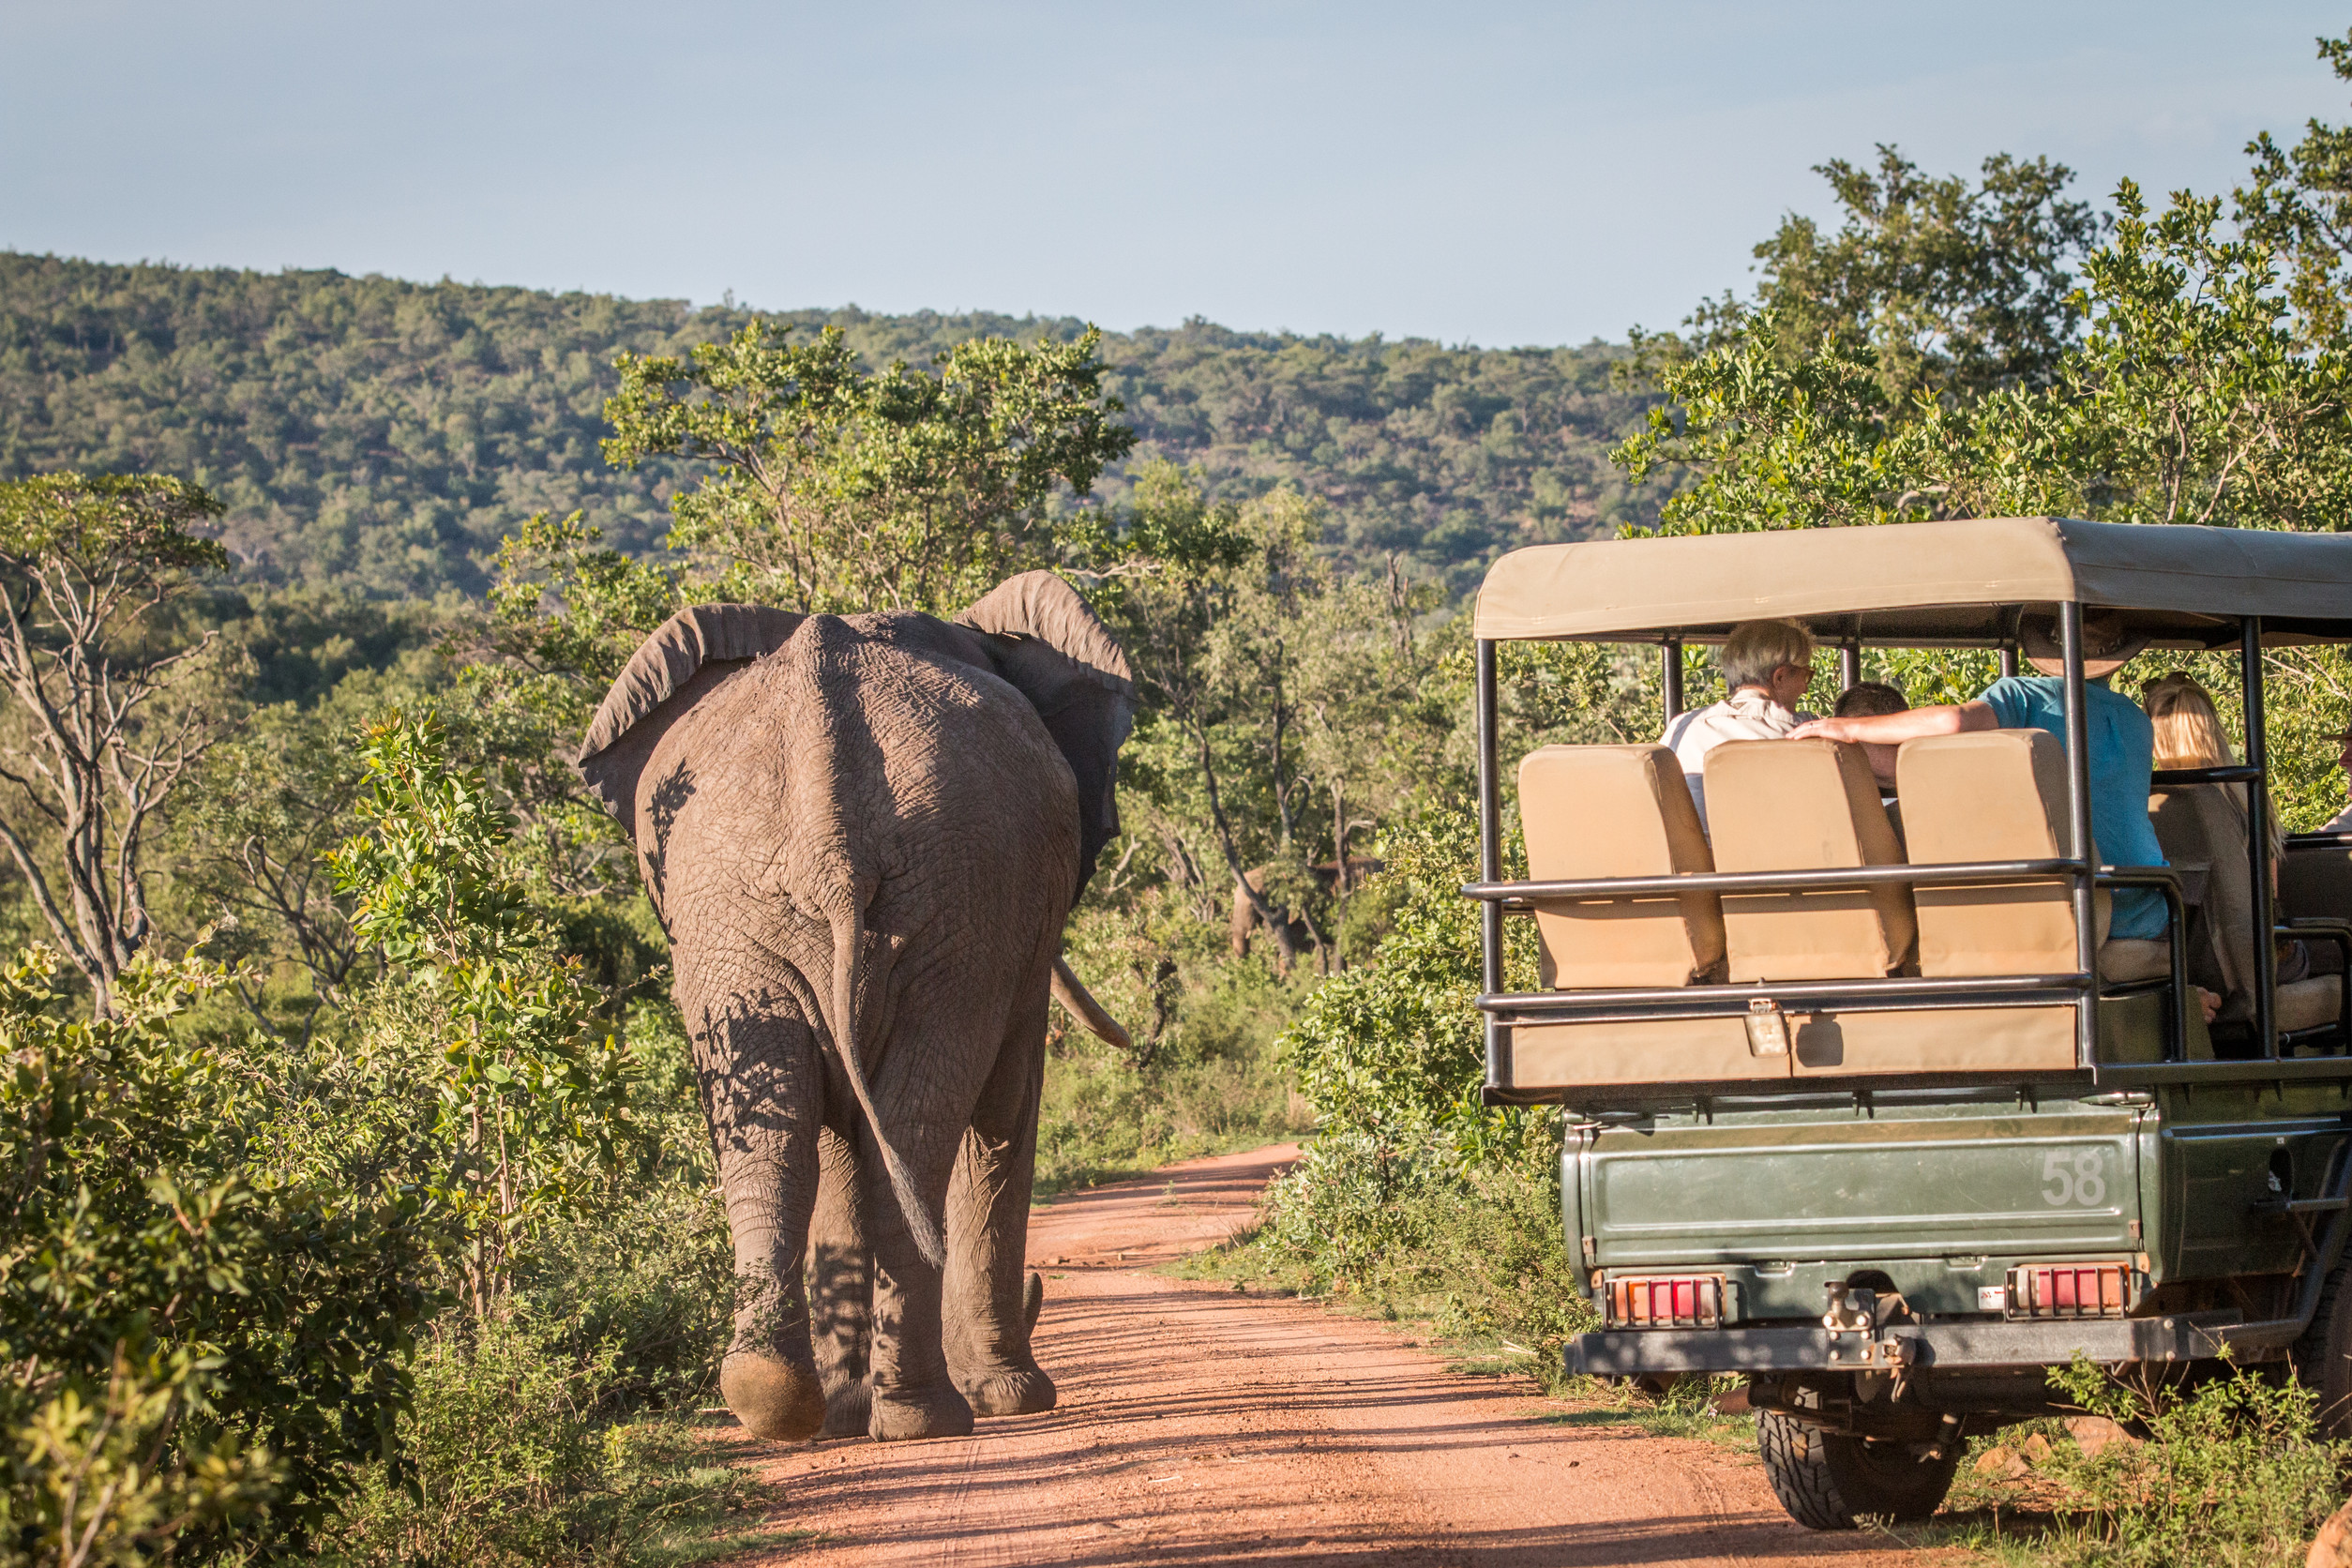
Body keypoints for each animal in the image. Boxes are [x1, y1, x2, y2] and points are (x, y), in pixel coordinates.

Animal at [573, 571, 1133, 1439]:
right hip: (943, 899)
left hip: (739, 908)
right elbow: (1004, 1115)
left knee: (780, 1135)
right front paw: (1014, 1399)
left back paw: (789, 1404)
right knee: (917, 1128)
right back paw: (924, 1417)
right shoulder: (1015, 932)